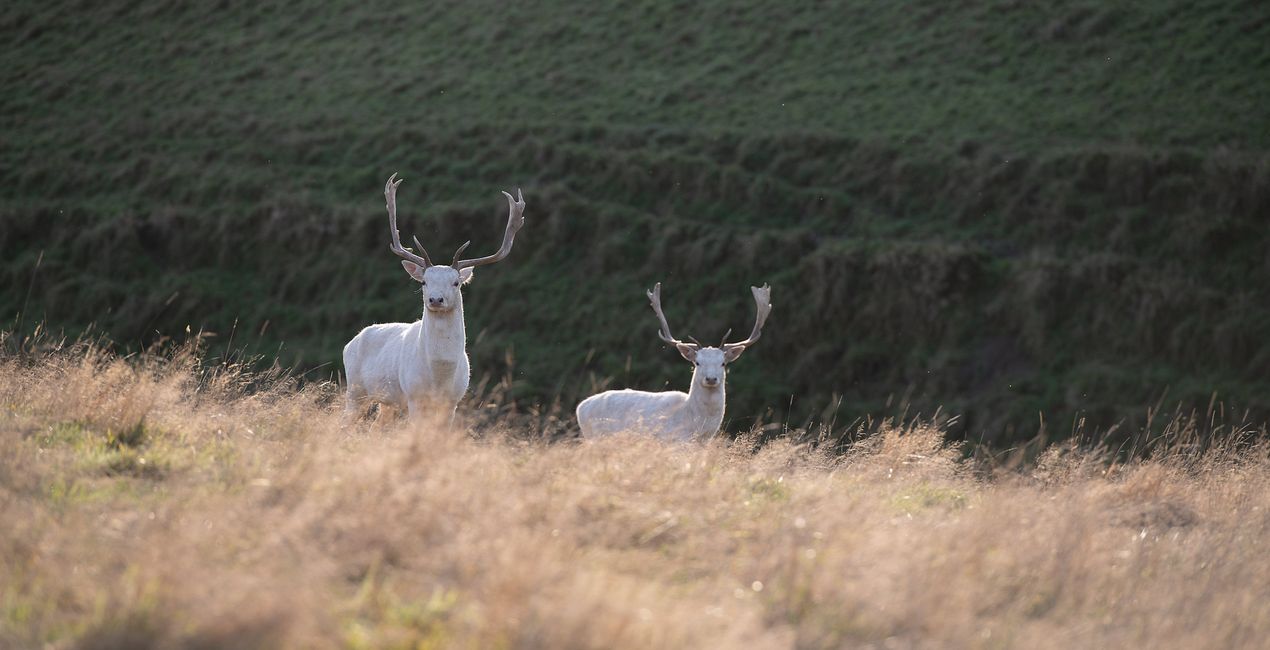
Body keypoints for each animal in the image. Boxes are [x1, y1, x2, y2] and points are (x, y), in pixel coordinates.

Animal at [342, 173, 525, 426]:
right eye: (424, 282)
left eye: (456, 283)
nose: (435, 299)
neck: (439, 377)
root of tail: (351, 342)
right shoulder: (414, 396)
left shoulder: (452, 402)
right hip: (355, 390)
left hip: (386, 401)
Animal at [579, 280, 772, 441]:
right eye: (697, 362)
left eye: (723, 363)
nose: (711, 379)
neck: (696, 429)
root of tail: (580, 408)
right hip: (595, 438)